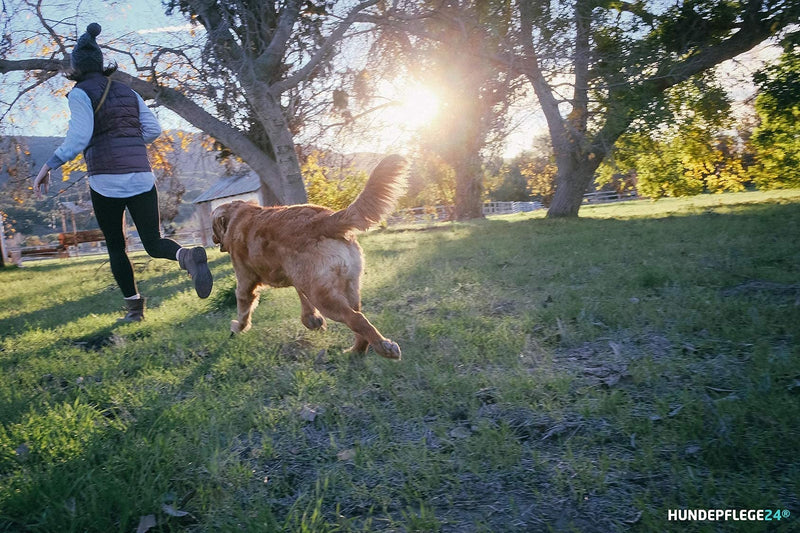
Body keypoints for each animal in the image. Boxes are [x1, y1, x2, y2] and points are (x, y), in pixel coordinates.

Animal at [211, 156, 406, 360]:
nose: (212, 238)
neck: (238, 216)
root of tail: (325, 219)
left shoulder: (245, 281)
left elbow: (243, 307)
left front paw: (238, 327)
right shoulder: (298, 278)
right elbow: (302, 298)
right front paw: (312, 319)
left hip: (324, 297)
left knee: (356, 319)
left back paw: (384, 347)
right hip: (347, 286)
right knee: (358, 321)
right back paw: (356, 351)